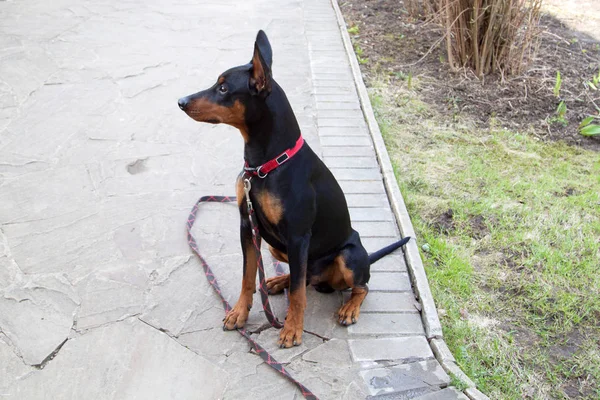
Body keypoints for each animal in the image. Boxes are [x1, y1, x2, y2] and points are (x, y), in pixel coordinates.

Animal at [178, 30, 408, 346]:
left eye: (223, 88)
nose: (181, 101)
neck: (265, 164)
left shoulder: (299, 235)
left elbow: (298, 295)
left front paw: (292, 329)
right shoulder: (247, 225)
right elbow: (248, 276)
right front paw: (239, 312)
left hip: (348, 256)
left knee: (357, 286)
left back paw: (348, 308)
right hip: (277, 247)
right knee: (303, 276)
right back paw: (278, 281)